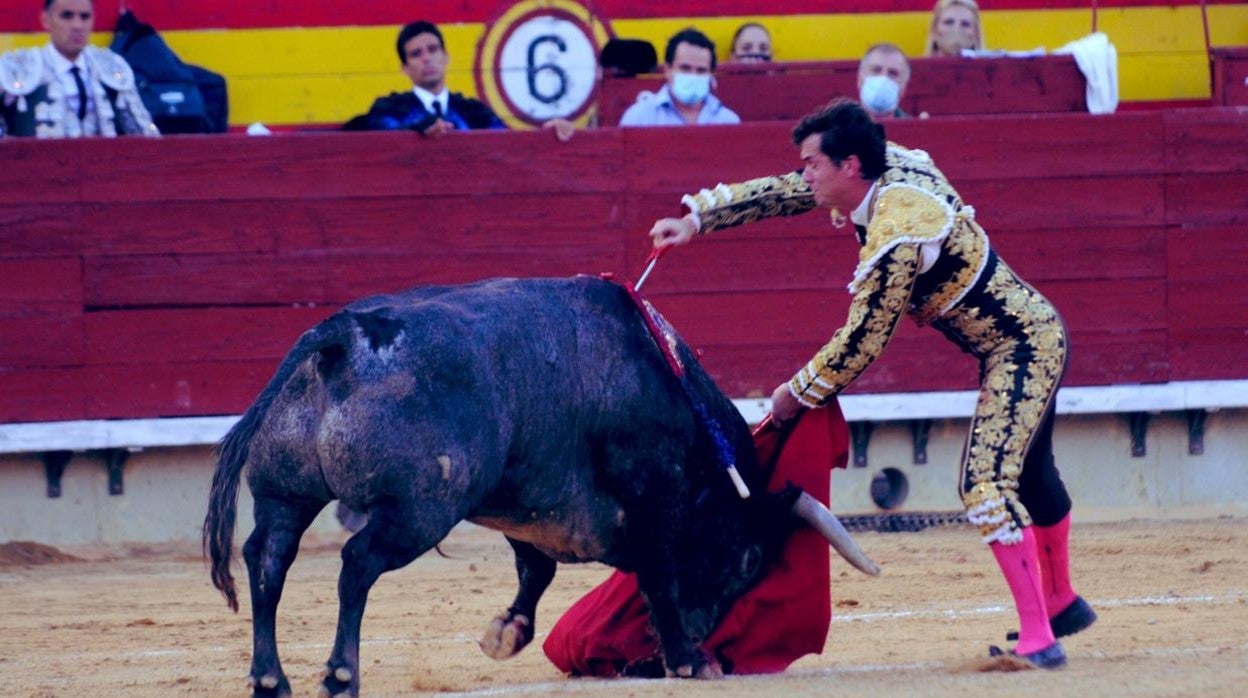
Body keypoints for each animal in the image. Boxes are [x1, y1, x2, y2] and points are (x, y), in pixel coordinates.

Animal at [202, 275, 878, 694]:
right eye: (749, 561)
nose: (704, 640)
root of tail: (339, 338)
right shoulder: (654, 498)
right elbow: (658, 576)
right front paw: (688, 663)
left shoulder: (525, 504)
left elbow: (536, 571)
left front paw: (506, 634)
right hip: (421, 509)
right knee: (356, 563)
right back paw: (341, 675)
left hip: (285, 496)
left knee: (268, 560)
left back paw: (270, 679)